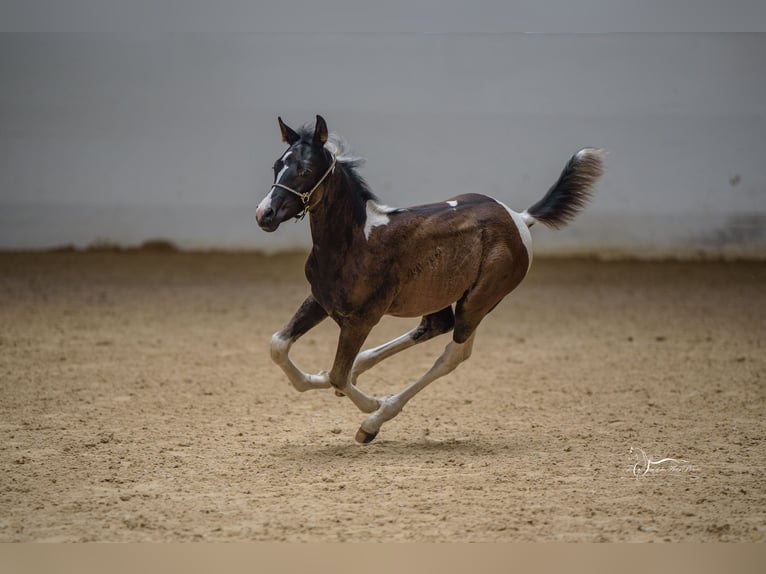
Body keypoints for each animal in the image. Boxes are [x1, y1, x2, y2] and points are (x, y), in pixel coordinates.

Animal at [258, 115, 608, 444]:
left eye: (305, 170)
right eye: (276, 165)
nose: (265, 214)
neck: (355, 241)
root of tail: (519, 218)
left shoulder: (362, 318)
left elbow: (338, 374)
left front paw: (373, 404)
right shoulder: (320, 300)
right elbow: (279, 345)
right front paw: (315, 379)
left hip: (479, 301)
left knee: (453, 354)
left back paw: (374, 421)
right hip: (436, 295)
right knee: (434, 326)